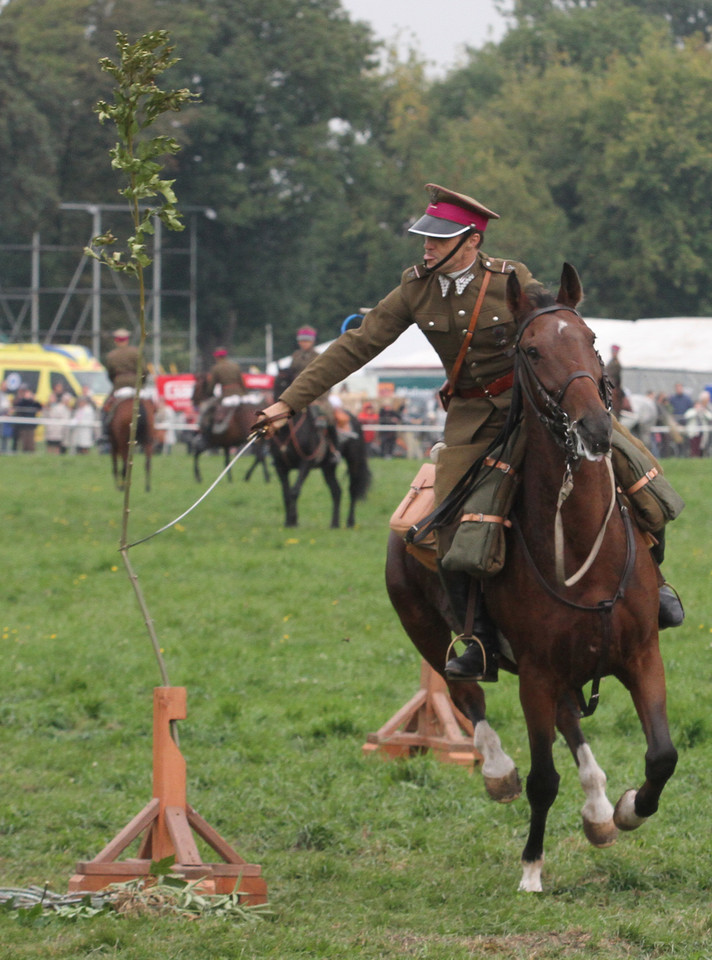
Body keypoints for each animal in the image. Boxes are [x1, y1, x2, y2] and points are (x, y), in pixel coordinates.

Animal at [386, 262, 676, 892]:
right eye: (533, 349)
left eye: (591, 338)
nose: (595, 427)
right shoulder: (536, 675)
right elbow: (543, 778)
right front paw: (531, 868)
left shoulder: (641, 654)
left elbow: (662, 755)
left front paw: (626, 809)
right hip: (427, 629)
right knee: (465, 693)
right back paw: (498, 771)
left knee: (570, 721)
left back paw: (598, 809)